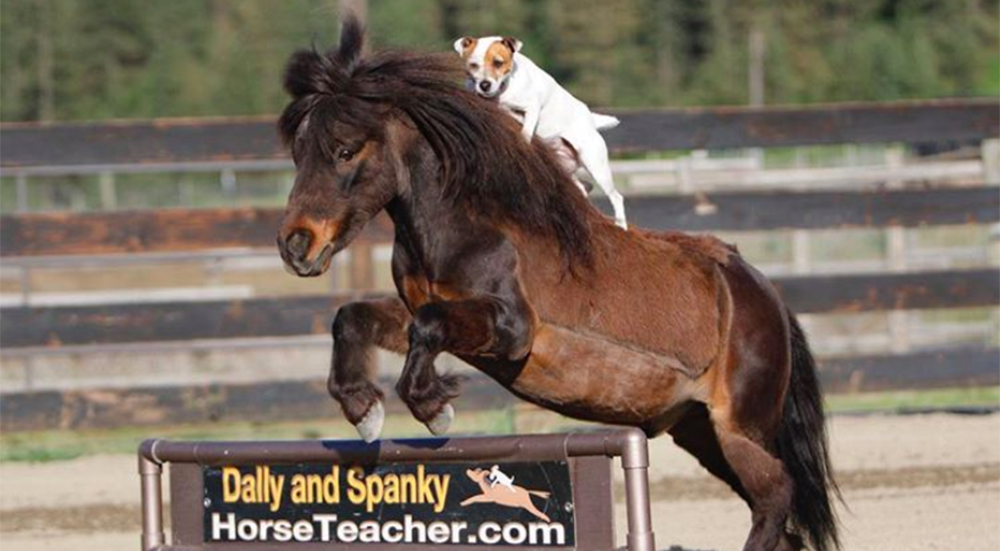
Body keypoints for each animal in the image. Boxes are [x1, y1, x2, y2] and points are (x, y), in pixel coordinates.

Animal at [454, 34, 624, 230]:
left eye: (498, 62)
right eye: (473, 64)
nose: (484, 85)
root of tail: (591, 120)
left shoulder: (531, 108)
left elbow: (525, 130)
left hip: (595, 165)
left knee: (616, 197)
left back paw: (621, 225)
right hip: (564, 166)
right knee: (584, 186)